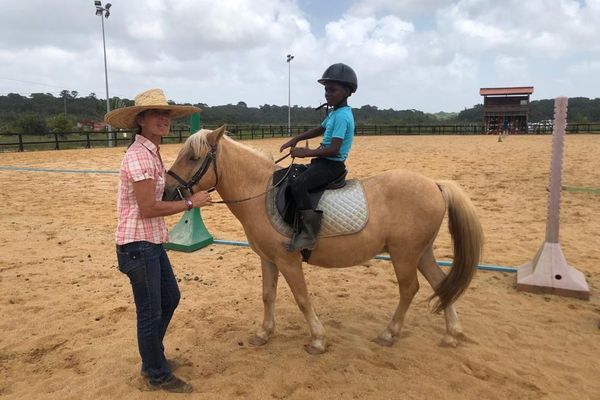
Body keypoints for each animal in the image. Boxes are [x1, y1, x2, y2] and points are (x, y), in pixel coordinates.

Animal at [164, 125, 482, 354]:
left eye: (193, 157)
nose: (167, 192)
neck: (260, 193)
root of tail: (436, 184)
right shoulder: (268, 259)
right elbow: (268, 295)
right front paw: (263, 333)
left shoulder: (288, 260)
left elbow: (302, 298)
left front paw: (317, 340)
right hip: (421, 252)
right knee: (441, 284)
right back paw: (452, 334)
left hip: (404, 254)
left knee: (409, 289)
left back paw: (389, 334)